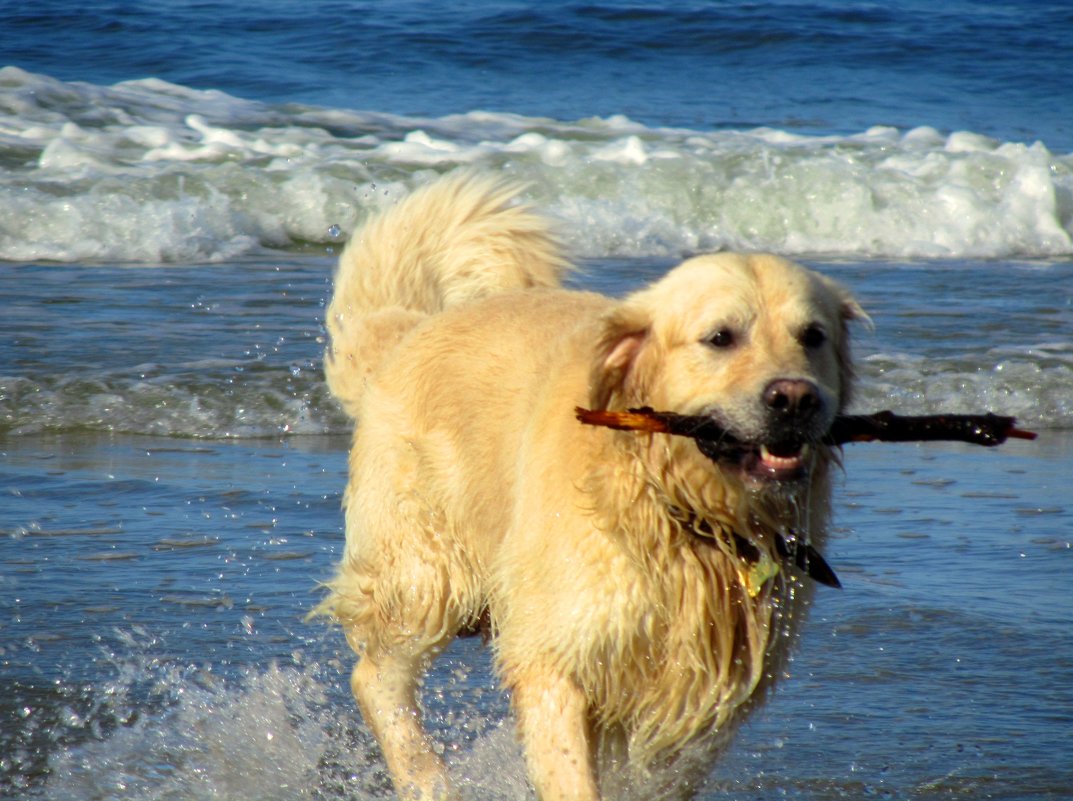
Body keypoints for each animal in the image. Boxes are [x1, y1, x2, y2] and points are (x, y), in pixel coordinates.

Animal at [311, 173, 862, 801]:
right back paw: (427, 778)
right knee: (377, 674)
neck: (680, 512)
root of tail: (408, 331)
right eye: (720, 337)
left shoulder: (701, 701)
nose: (795, 398)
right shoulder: (557, 657)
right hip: (425, 571)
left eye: (812, 336)